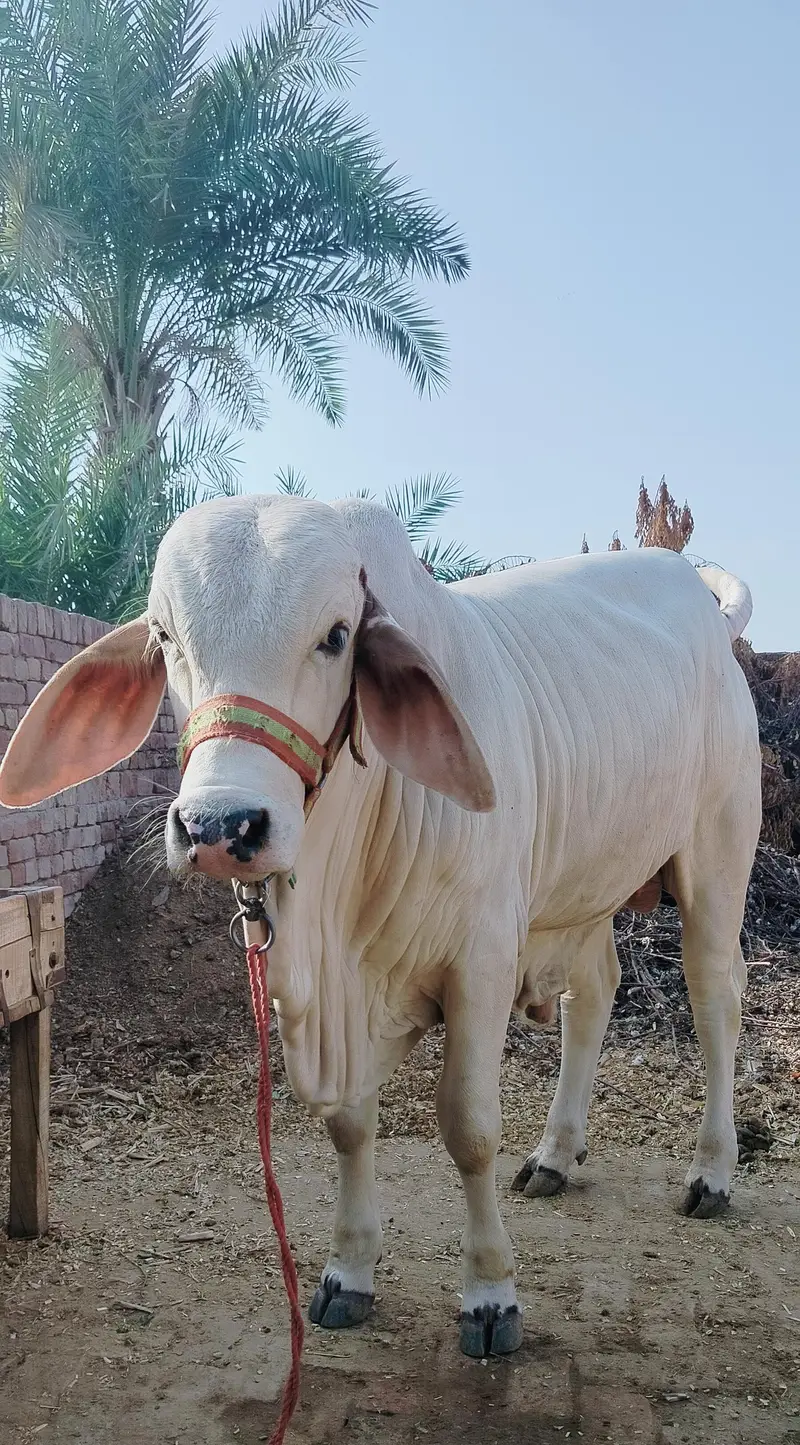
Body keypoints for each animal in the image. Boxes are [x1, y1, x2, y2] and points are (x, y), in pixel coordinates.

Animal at [0, 494, 761, 1358]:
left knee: (715, 999)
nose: (219, 825)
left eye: (337, 635)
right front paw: (349, 1270)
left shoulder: (482, 960)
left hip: (715, 856)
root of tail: (697, 598)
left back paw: (711, 1172)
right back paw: (556, 1154)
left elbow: (469, 1127)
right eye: (164, 637)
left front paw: (490, 1292)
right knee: (594, 994)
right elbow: (348, 1123)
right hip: (581, 888)